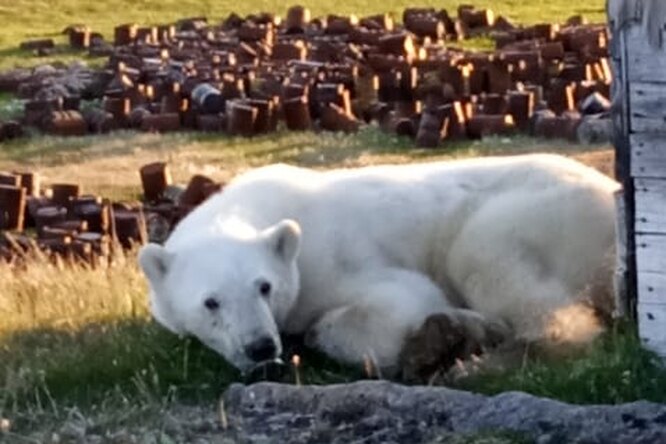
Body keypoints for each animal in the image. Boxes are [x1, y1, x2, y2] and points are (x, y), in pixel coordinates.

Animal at [139, 153, 616, 374]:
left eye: (264, 286)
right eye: (211, 302)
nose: (260, 347)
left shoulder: (332, 258)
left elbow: (400, 300)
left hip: (537, 212)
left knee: (487, 260)